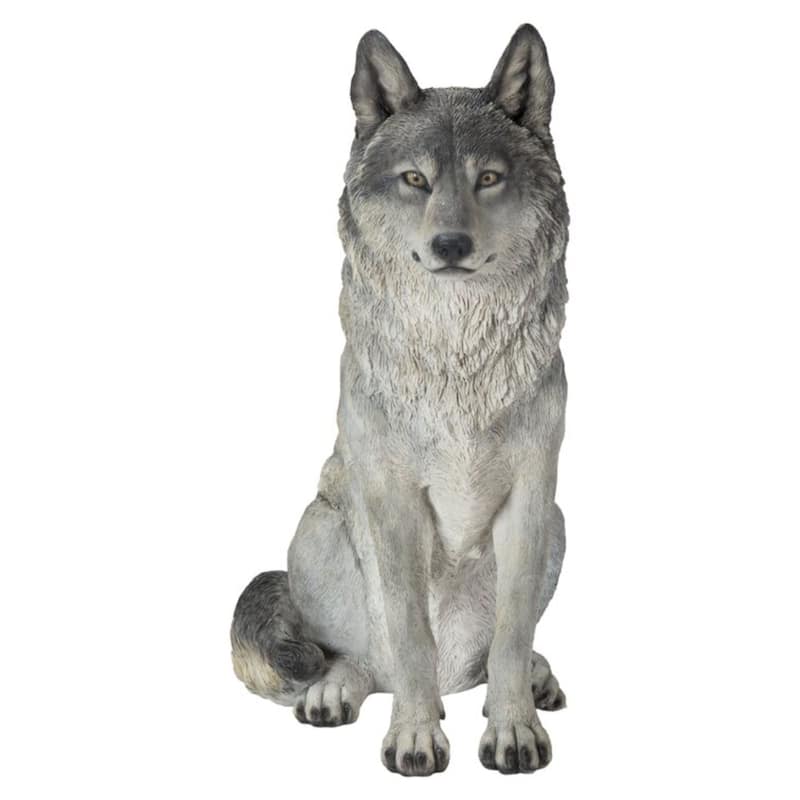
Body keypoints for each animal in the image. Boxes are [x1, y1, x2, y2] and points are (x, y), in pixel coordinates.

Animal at [231, 23, 570, 776]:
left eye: (488, 178)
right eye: (416, 180)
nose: (451, 243)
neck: (457, 356)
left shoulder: (532, 498)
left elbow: (508, 639)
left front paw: (514, 730)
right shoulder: (394, 501)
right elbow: (411, 637)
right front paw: (415, 737)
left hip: (560, 527)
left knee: (489, 659)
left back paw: (529, 680)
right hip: (316, 528)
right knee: (371, 661)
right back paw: (337, 692)